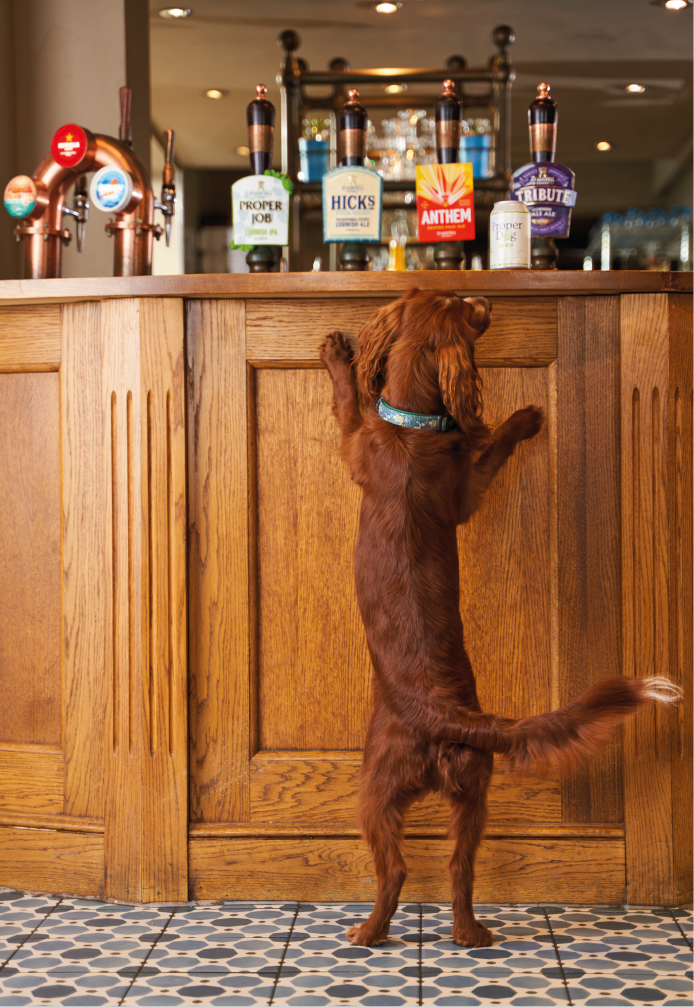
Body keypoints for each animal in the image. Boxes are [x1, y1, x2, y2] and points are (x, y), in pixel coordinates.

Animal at [320, 285, 680, 950]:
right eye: (461, 304)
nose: (485, 293)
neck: (413, 427)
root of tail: (449, 717)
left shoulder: (359, 445)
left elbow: (348, 402)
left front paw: (336, 355)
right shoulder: (460, 490)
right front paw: (527, 420)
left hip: (373, 787)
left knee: (398, 867)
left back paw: (370, 931)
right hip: (474, 791)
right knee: (460, 867)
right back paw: (469, 933)